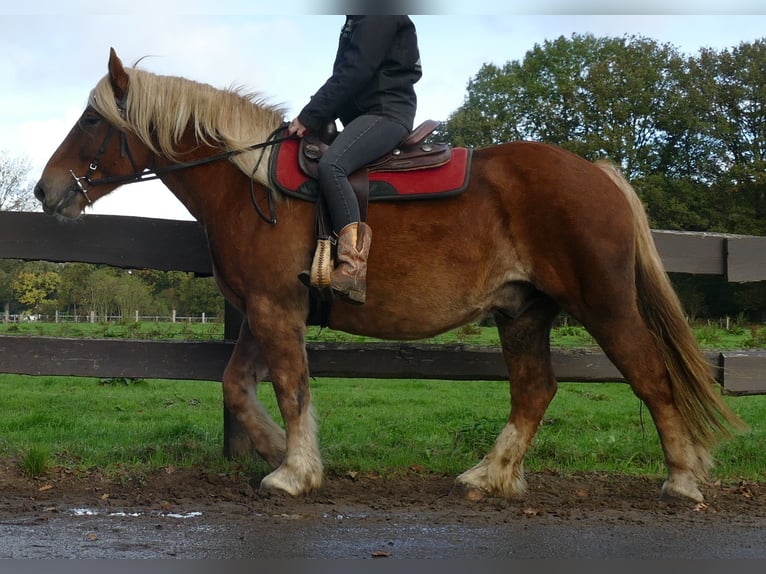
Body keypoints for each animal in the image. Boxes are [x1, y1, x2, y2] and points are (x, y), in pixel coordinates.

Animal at [35, 48, 745, 503]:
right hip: (523, 311)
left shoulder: (274, 309)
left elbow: (292, 388)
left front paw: (294, 470)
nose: (46, 190)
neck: (251, 184)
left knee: (650, 376)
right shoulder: (263, 312)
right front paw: (276, 450)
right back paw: (489, 476)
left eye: (93, 119)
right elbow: (239, 387)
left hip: (604, 303)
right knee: (534, 390)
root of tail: (595, 172)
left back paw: (682, 479)